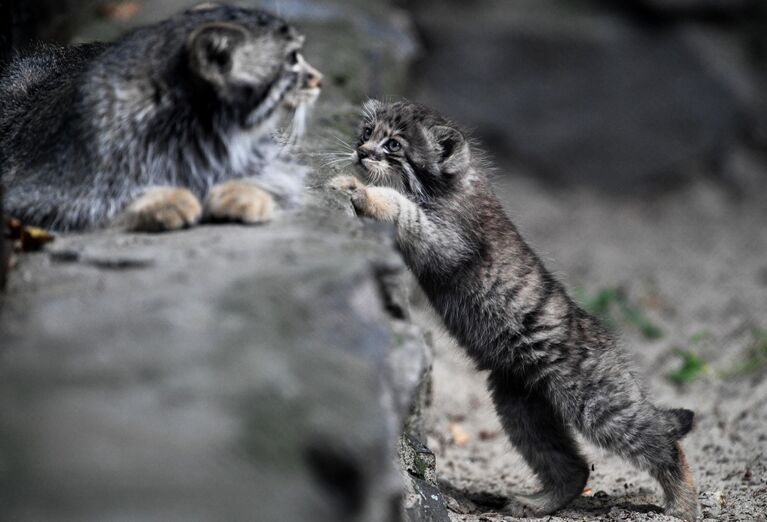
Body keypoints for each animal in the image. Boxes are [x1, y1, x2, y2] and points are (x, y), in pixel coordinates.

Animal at [0, 4, 320, 231]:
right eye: (293, 57)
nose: (319, 79)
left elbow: (276, 176)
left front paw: (241, 190)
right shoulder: (41, 192)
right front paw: (163, 199)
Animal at [328, 99, 696, 516]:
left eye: (392, 145)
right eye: (366, 132)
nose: (360, 152)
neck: (451, 183)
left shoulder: (447, 236)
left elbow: (401, 207)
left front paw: (360, 191)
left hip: (597, 403)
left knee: (663, 441)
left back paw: (683, 504)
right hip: (521, 405)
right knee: (574, 467)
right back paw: (539, 503)